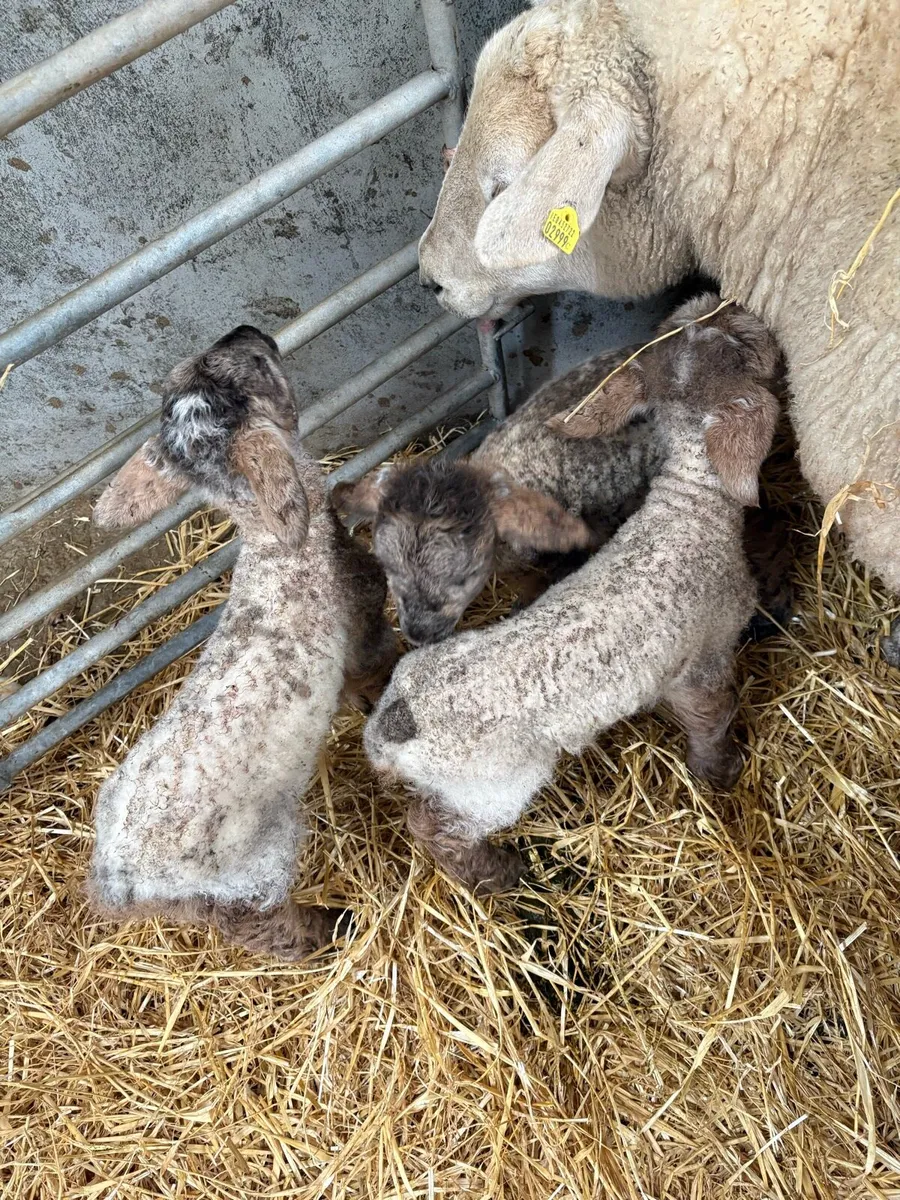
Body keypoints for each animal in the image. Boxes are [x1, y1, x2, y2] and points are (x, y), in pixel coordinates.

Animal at [87, 325, 397, 960]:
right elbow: (375, 668)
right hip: (246, 877)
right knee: (271, 929)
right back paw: (333, 927)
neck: (281, 550)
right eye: (253, 367)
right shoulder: (367, 618)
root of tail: (120, 883)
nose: (249, 331)